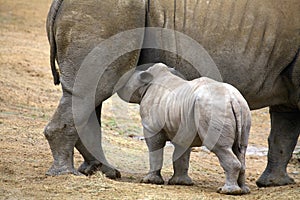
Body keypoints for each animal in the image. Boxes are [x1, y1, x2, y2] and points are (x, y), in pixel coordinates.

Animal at [117, 63, 251, 195]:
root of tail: (233, 99)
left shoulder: (152, 127)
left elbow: (155, 150)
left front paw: (150, 181)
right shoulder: (183, 126)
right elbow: (182, 154)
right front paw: (180, 182)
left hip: (214, 108)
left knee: (220, 147)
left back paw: (227, 191)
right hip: (242, 109)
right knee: (241, 149)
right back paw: (243, 190)